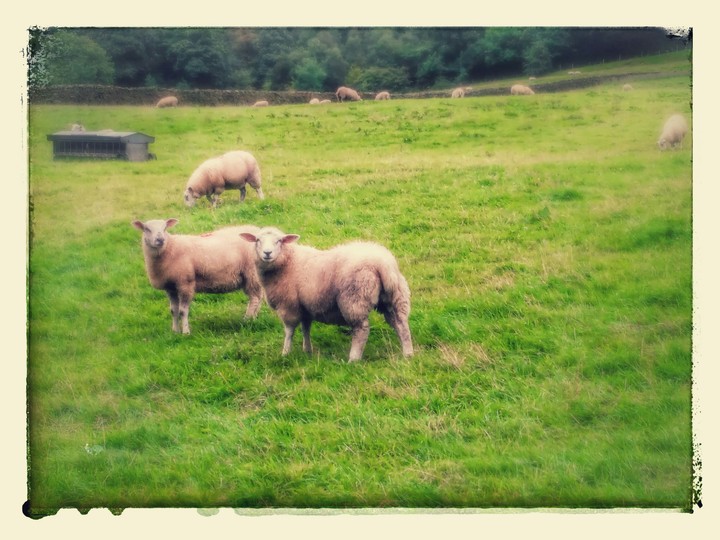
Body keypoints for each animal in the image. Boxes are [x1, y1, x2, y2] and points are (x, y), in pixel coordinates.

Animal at [131, 219, 264, 334]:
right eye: (146, 229)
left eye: (164, 228)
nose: (160, 239)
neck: (170, 248)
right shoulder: (171, 288)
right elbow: (173, 311)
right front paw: (175, 331)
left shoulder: (185, 283)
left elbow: (183, 311)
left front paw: (185, 332)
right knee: (258, 297)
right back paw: (254, 317)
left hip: (251, 272)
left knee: (255, 298)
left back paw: (247, 320)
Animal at [239, 227, 414, 362]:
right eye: (257, 240)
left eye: (279, 241)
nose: (267, 253)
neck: (287, 262)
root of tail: (382, 264)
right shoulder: (305, 307)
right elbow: (306, 328)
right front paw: (307, 350)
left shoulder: (288, 305)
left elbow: (289, 331)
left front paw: (285, 353)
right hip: (395, 296)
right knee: (400, 323)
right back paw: (408, 353)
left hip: (354, 298)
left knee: (361, 330)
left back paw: (353, 359)